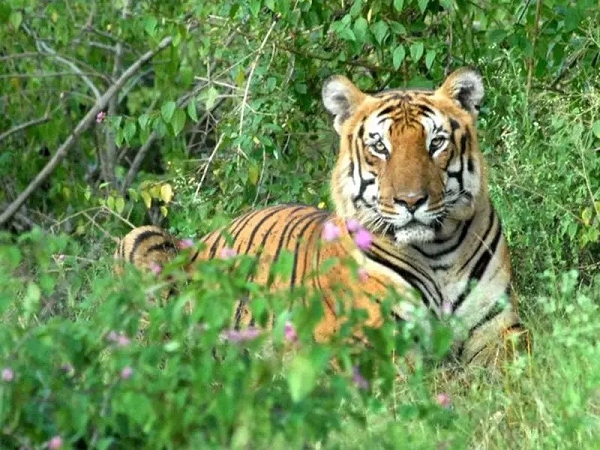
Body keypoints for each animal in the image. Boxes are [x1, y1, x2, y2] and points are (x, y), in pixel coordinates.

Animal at [114, 67, 530, 367]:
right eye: (380, 146)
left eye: (436, 143)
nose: (411, 201)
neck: (435, 253)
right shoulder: (370, 344)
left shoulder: (498, 329)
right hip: (140, 242)